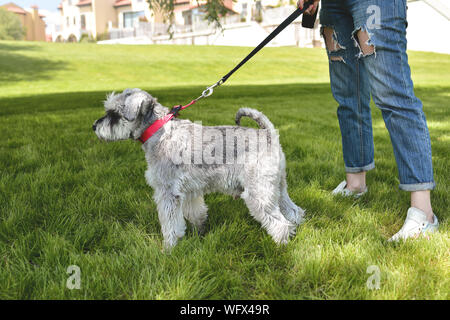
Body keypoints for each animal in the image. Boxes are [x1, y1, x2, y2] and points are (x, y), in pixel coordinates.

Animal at [95, 88, 306, 250]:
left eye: (113, 113)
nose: (94, 126)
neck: (158, 130)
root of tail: (269, 134)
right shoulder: (189, 191)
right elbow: (196, 213)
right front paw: (199, 232)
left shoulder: (167, 192)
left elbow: (171, 224)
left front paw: (169, 248)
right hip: (277, 186)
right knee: (294, 211)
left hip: (258, 192)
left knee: (280, 223)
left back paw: (280, 247)